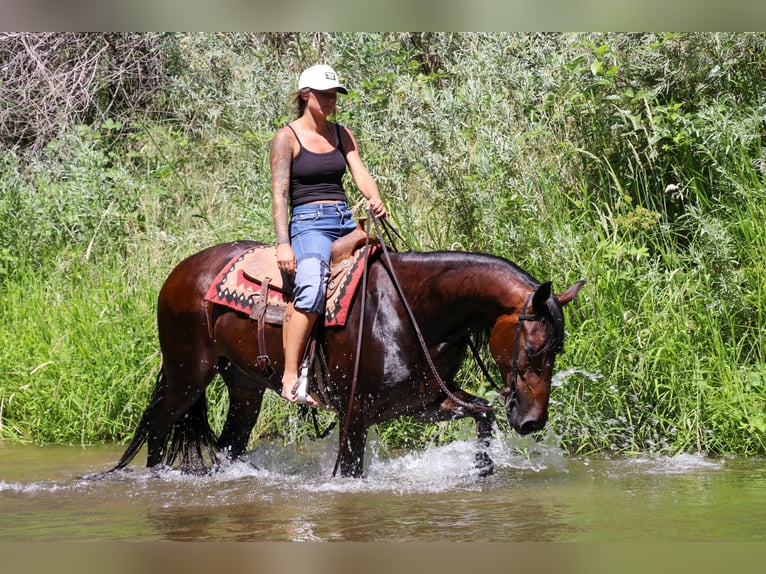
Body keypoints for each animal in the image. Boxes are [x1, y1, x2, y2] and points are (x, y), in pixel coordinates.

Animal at [110, 236, 585, 478]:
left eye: (557, 349)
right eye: (534, 346)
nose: (532, 422)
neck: (410, 310)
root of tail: (179, 272)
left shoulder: (423, 403)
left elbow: (483, 413)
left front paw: (482, 470)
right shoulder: (355, 412)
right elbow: (352, 472)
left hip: (244, 386)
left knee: (229, 444)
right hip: (187, 375)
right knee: (158, 426)